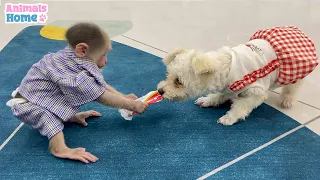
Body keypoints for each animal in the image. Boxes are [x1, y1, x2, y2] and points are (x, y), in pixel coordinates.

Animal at [157, 26, 318, 126]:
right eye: (168, 75)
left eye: (178, 81)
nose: (160, 91)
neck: (227, 69)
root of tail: (299, 31)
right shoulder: (228, 87)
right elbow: (220, 95)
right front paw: (209, 100)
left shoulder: (256, 92)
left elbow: (241, 106)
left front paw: (229, 118)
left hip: (295, 72)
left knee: (293, 88)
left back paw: (287, 100)